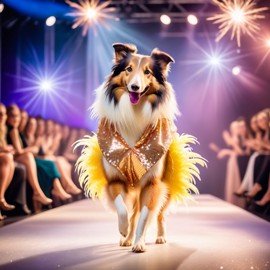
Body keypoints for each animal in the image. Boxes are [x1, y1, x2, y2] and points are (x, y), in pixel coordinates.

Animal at [76, 42, 205, 253]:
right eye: (128, 69)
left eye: (148, 72)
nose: (135, 87)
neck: (134, 113)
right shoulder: (115, 179)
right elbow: (123, 208)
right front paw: (124, 230)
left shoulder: (152, 183)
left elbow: (145, 215)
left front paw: (139, 243)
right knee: (134, 213)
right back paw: (128, 237)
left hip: (167, 187)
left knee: (159, 214)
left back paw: (160, 237)